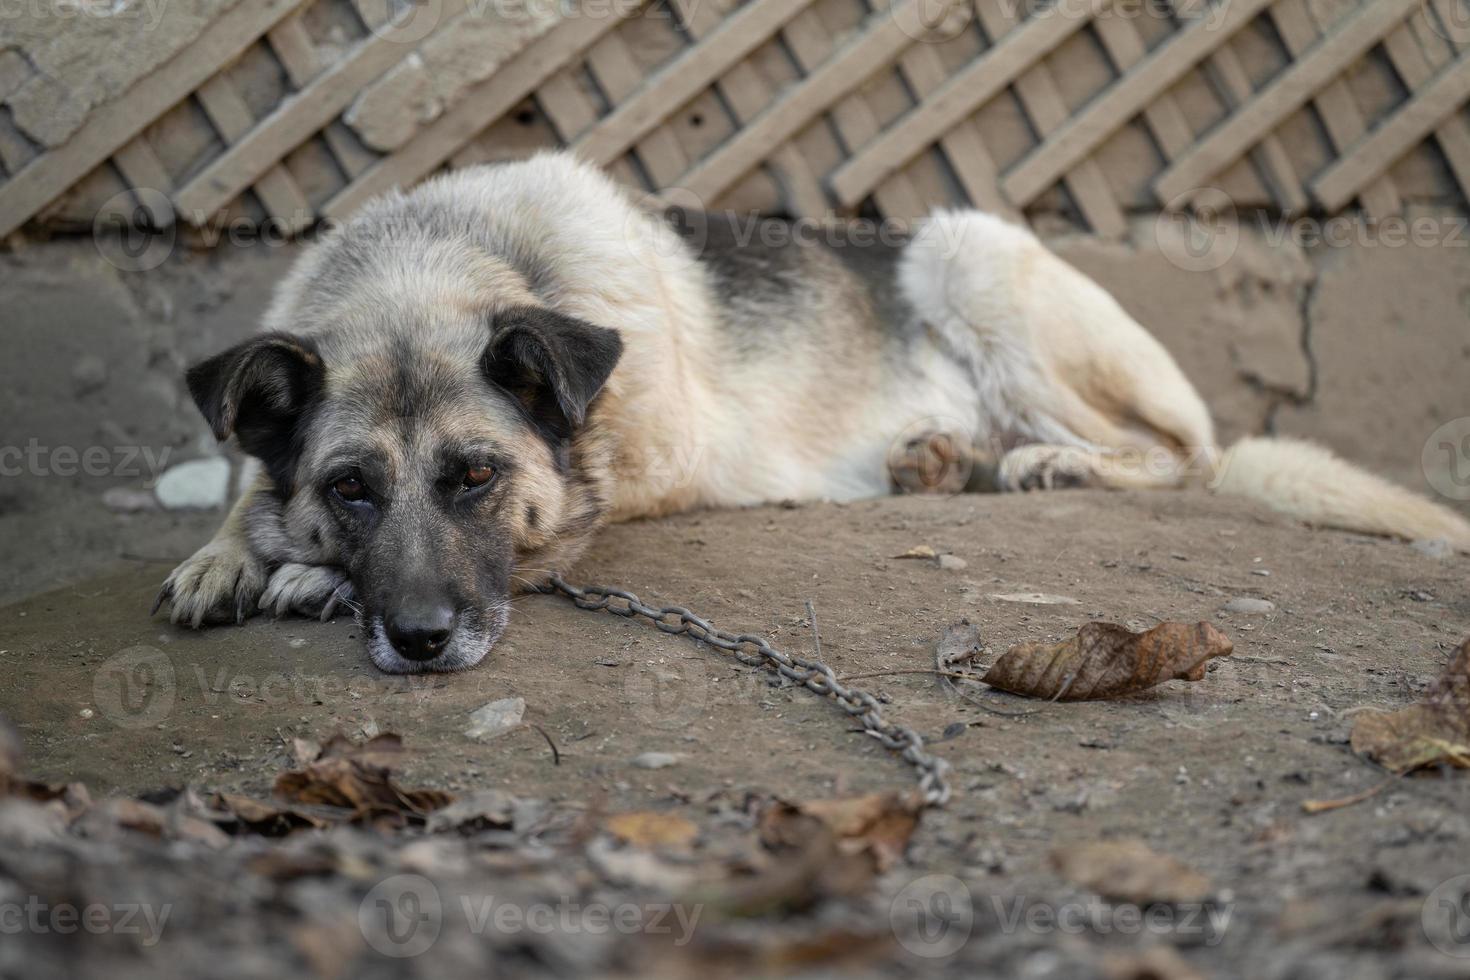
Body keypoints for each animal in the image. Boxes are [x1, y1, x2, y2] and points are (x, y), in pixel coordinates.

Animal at [152, 153, 1470, 675]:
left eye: (475, 475)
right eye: (352, 486)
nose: (422, 639)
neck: (433, 264)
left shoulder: (623, 470)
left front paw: (302, 572)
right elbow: (244, 479)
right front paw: (230, 553)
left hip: (968, 251)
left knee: (1183, 456)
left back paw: (1042, 465)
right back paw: (941, 459)